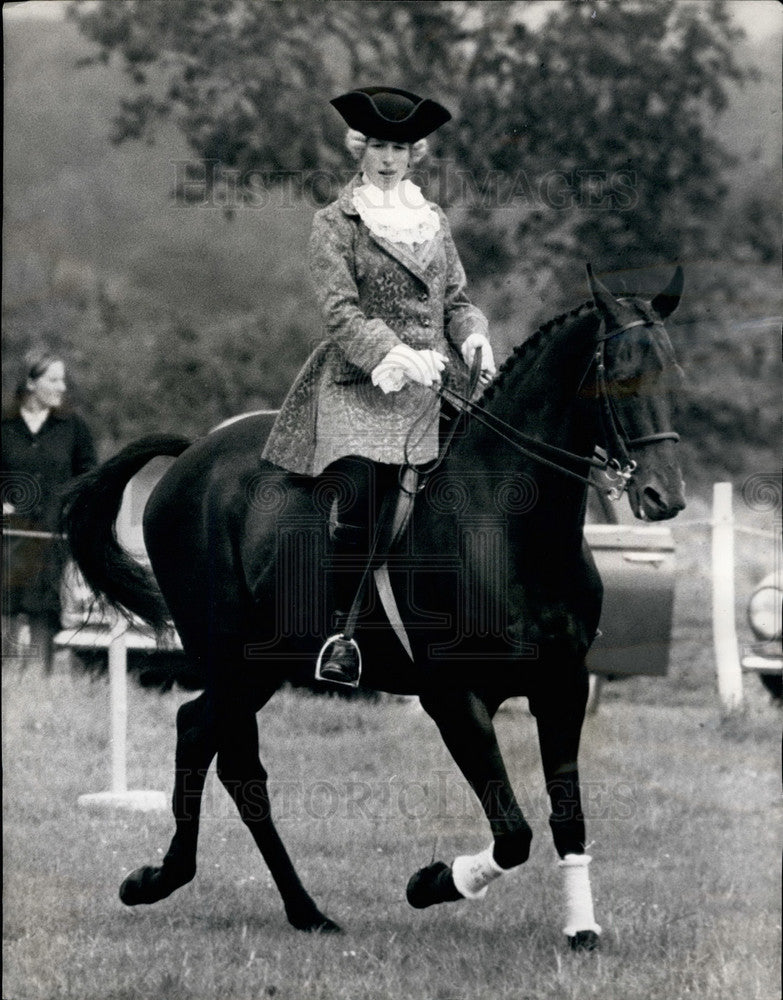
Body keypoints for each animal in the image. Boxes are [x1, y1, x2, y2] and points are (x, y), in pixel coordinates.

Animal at [62, 270, 688, 948]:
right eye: (618, 376)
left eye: (674, 374)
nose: (664, 497)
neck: (508, 524)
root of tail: (194, 452)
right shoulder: (452, 697)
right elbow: (513, 834)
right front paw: (432, 883)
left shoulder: (563, 686)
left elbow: (567, 820)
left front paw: (581, 929)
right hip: (231, 657)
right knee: (213, 743)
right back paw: (162, 882)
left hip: (262, 665)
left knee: (217, 746)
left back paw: (299, 910)